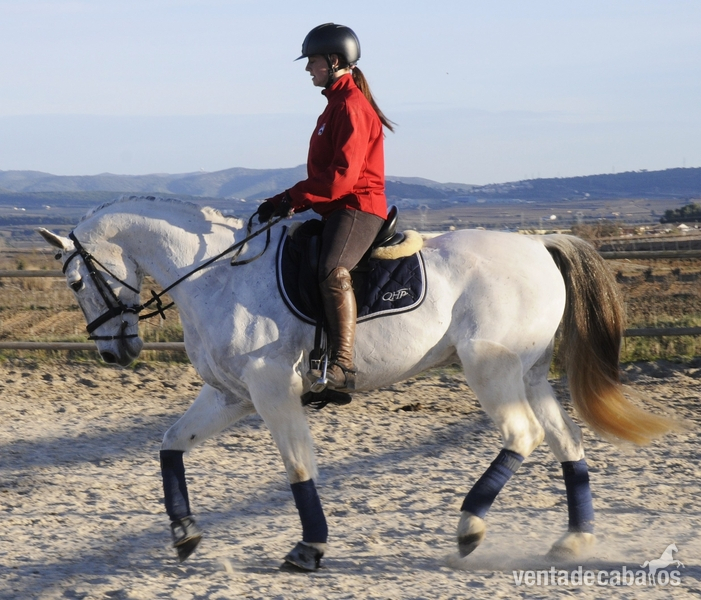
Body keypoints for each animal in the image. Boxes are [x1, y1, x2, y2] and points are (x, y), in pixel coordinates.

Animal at [38, 196, 675, 571]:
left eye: (75, 282)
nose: (114, 351)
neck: (216, 276)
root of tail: (539, 243)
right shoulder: (231, 396)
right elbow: (171, 444)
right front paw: (184, 534)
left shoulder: (271, 390)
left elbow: (299, 466)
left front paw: (310, 546)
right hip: (529, 371)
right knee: (566, 441)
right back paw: (574, 539)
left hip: (490, 368)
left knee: (523, 436)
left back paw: (470, 527)